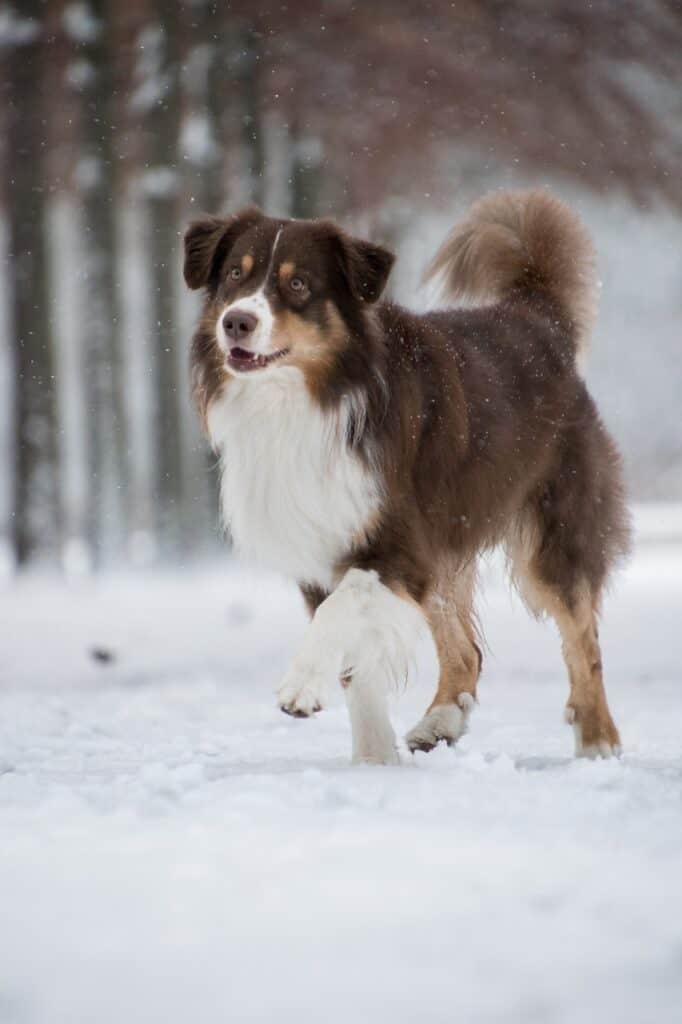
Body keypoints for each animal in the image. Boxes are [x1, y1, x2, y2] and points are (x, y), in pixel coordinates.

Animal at [183, 192, 630, 765]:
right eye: (235, 276)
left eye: (298, 284)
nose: (236, 322)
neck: (306, 400)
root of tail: (534, 313)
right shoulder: (321, 541)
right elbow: (357, 667)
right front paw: (374, 763)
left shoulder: (398, 542)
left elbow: (340, 611)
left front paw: (302, 685)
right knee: (466, 651)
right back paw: (440, 722)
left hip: (553, 529)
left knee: (582, 639)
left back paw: (598, 740)